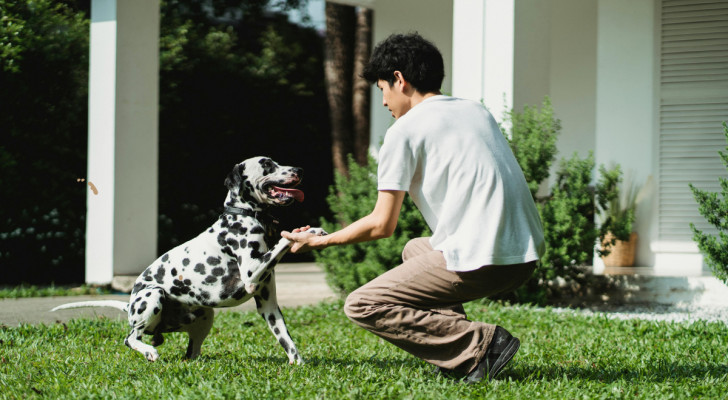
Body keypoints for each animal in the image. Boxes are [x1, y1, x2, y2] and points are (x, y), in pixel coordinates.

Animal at [55, 158, 328, 364]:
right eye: (268, 165)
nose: (300, 170)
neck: (245, 216)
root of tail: (130, 304)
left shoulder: (269, 305)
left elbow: (287, 341)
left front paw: (298, 364)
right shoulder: (252, 274)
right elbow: (284, 240)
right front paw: (310, 232)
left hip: (205, 316)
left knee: (190, 353)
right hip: (152, 296)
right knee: (130, 338)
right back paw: (149, 351)